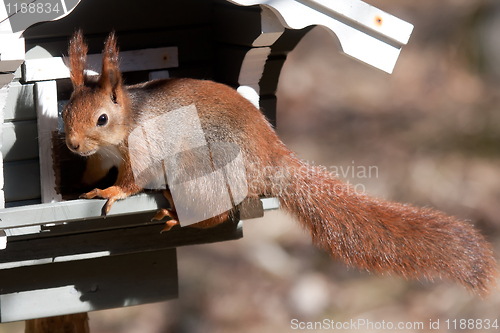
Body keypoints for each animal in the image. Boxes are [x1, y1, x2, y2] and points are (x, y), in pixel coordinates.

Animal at [63, 31, 500, 294]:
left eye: (102, 119)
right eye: (65, 109)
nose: (71, 143)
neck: (125, 127)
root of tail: (271, 159)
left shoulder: (146, 151)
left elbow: (133, 181)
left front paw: (111, 191)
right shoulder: (99, 158)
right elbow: (93, 170)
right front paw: (75, 183)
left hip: (199, 171)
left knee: (217, 213)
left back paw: (176, 215)